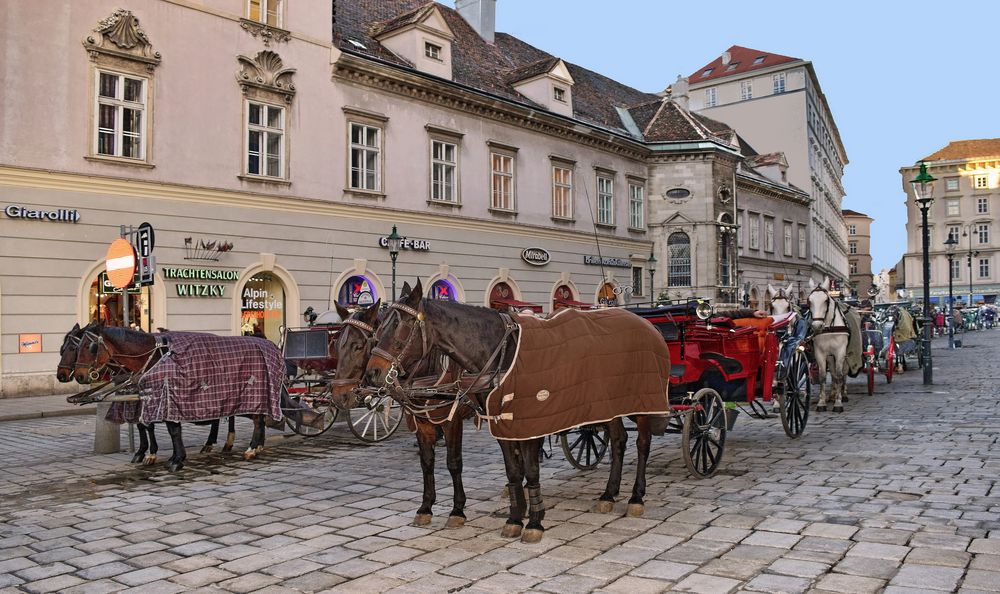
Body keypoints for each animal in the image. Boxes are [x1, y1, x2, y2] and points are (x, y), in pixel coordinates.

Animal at [74, 322, 268, 470]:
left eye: (90, 347)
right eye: (76, 347)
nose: (79, 376)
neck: (154, 357)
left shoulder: (167, 397)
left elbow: (172, 430)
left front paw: (175, 459)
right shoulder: (150, 400)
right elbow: (150, 426)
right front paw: (163, 455)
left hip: (255, 391)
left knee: (257, 418)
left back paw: (251, 448)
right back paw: (252, 445)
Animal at [328, 292, 472, 528]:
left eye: (358, 346)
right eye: (336, 346)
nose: (340, 395)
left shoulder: (452, 421)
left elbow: (453, 463)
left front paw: (457, 509)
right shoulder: (421, 421)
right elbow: (427, 461)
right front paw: (426, 507)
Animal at [368, 280, 664, 544]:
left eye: (400, 326)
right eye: (378, 328)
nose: (373, 373)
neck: (503, 353)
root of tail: (647, 325)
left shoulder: (527, 422)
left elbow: (527, 470)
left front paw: (533, 522)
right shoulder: (500, 422)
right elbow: (512, 470)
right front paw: (514, 517)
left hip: (642, 402)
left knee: (642, 444)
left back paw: (636, 496)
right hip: (608, 404)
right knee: (618, 440)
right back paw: (608, 494)